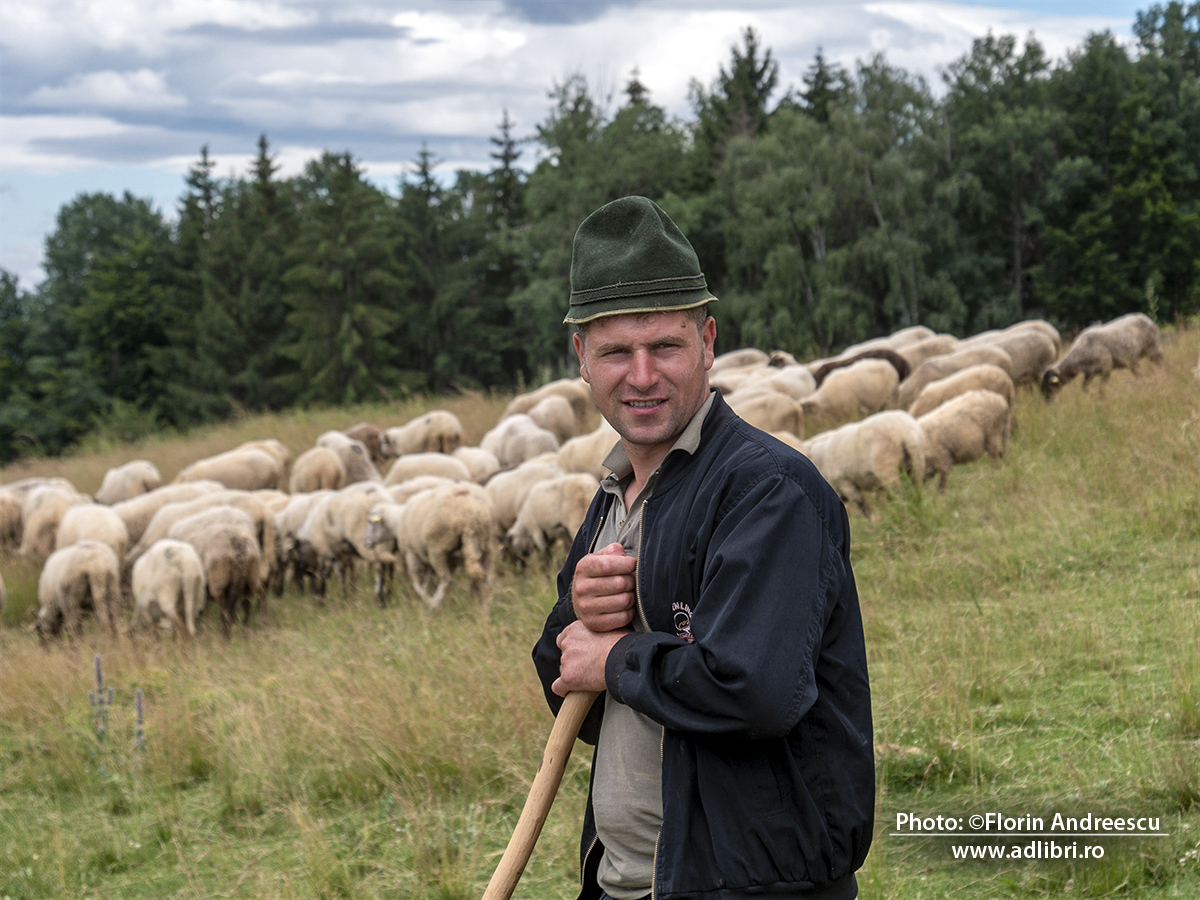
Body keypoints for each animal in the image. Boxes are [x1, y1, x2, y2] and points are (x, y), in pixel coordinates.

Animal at [167, 506, 262, 636]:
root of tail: (239, 546)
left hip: (219, 582)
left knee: (226, 612)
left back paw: (225, 637)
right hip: (250, 579)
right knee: (246, 608)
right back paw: (244, 635)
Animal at [364, 482, 497, 613]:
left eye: (370, 521)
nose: (365, 542)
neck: (397, 521)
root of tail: (471, 511)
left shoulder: (412, 553)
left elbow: (417, 582)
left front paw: (429, 602)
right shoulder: (434, 559)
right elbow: (428, 583)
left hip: (438, 548)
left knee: (446, 579)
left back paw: (436, 603)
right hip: (486, 545)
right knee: (487, 580)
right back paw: (485, 612)